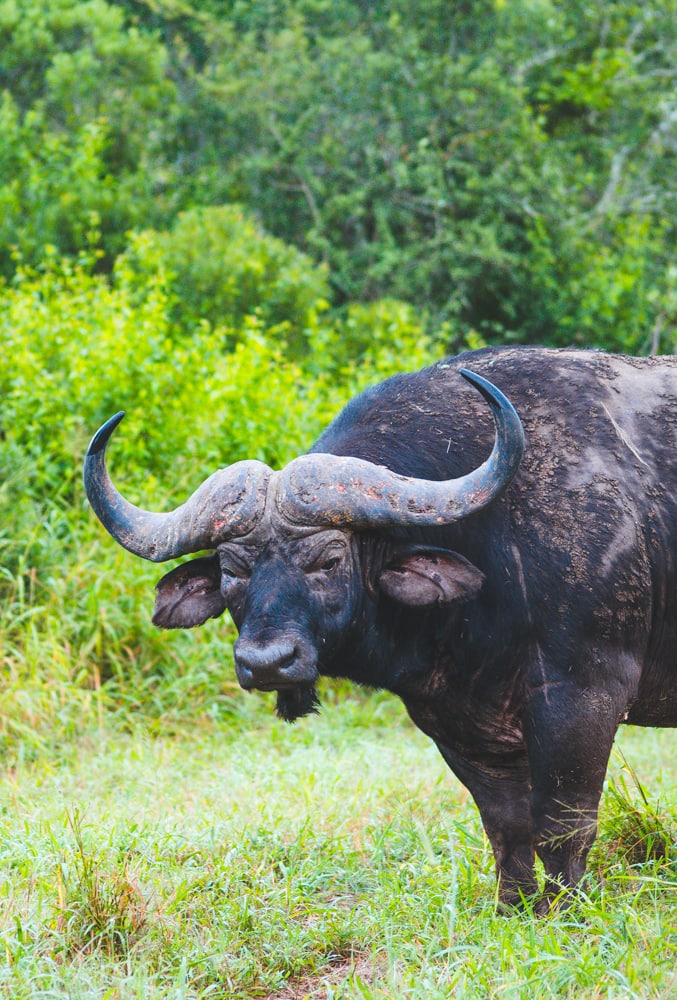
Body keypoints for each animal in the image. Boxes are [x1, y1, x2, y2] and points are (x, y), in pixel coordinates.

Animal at [84, 346, 676, 916]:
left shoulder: (583, 695)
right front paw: (515, 909)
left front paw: (567, 914)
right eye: (232, 570)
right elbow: (507, 828)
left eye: (328, 559)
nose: (267, 662)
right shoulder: (457, 721)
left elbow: (561, 827)